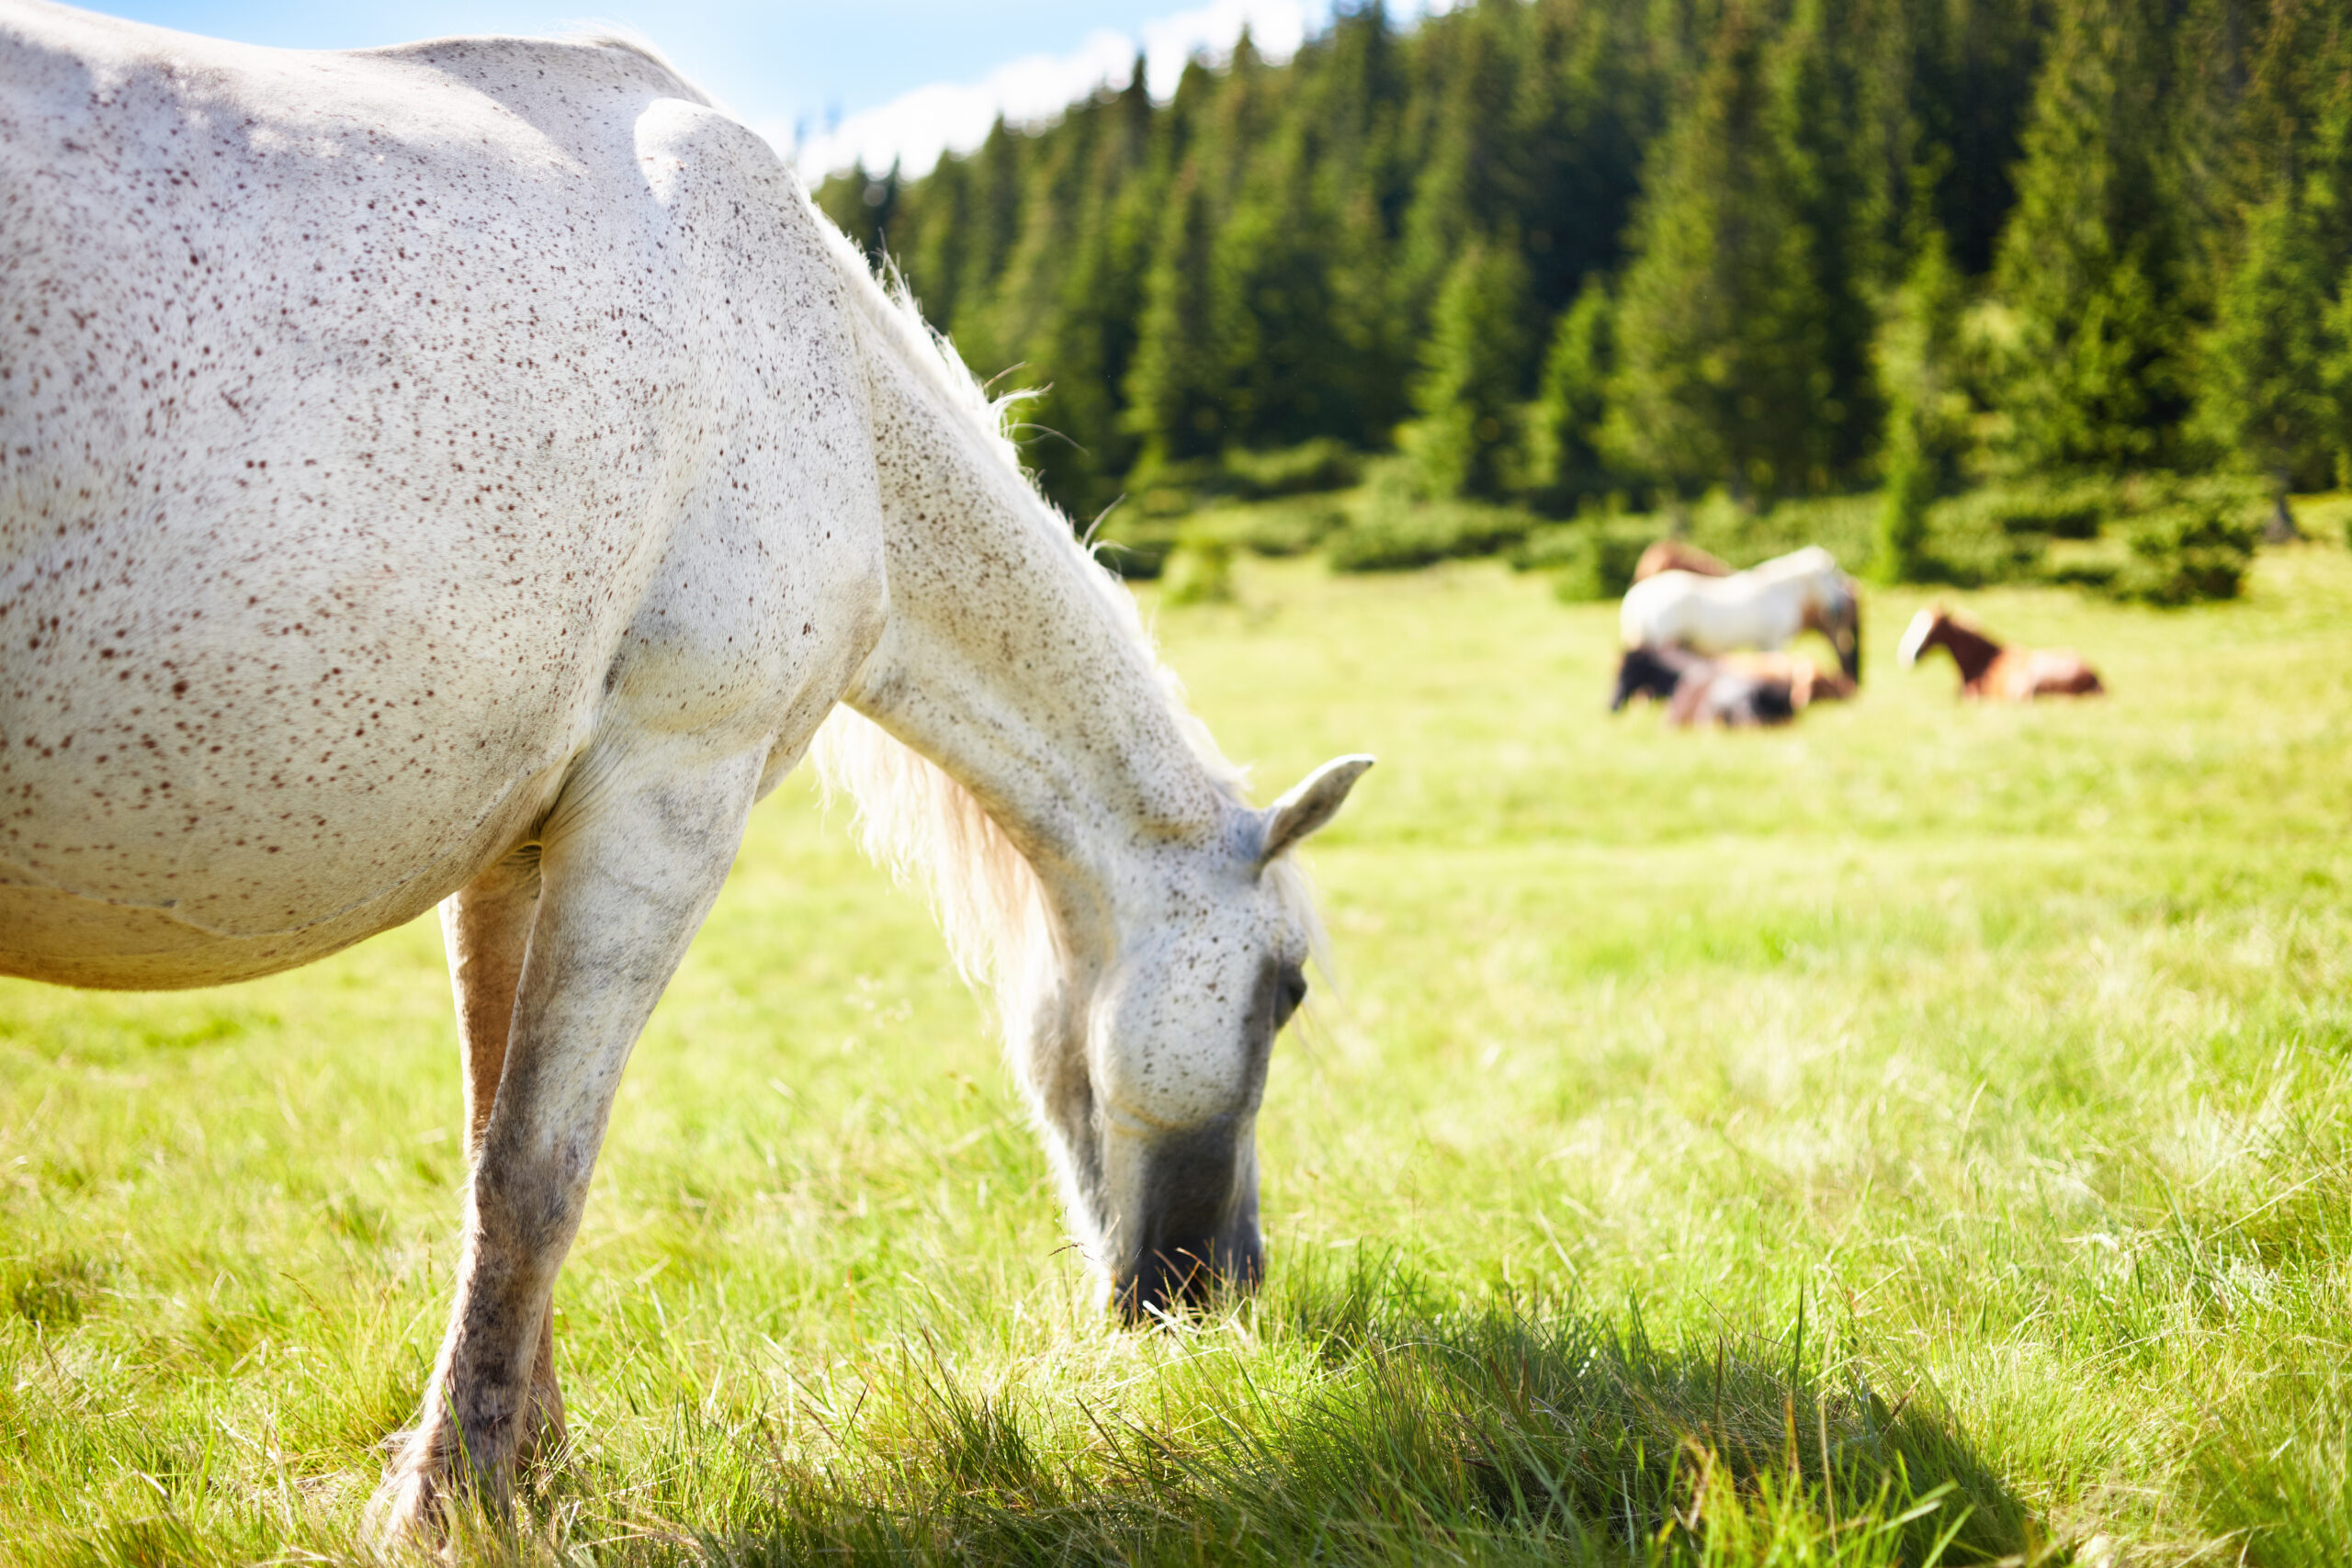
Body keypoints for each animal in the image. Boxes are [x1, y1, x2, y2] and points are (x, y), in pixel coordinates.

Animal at [0, 4, 1372, 1544]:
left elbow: (492, 1150)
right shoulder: (666, 794)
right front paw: (448, 1502)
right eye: (1286, 990)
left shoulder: (522, 839)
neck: (831, 384)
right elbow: (536, 1173)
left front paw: (527, 1468)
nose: (1224, 1292)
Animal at [1619, 546, 1862, 682]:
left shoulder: (1763, 644)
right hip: (1659, 642)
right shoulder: (1774, 641)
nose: (1842, 603)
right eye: (1832, 577)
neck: (1781, 591)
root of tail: (1634, 597)